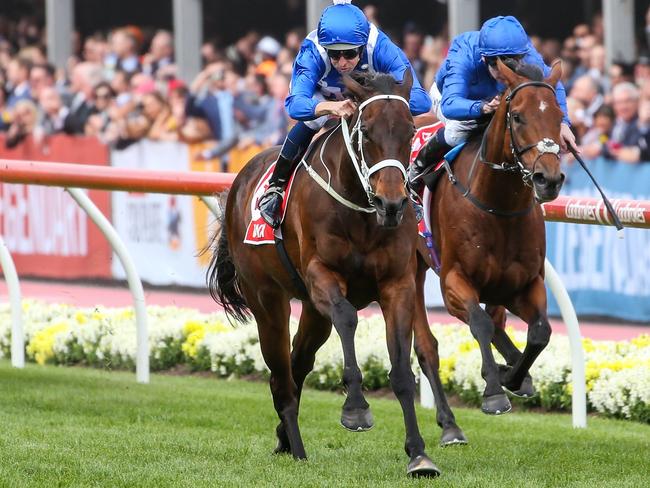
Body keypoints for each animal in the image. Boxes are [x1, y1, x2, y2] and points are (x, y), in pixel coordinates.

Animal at [206, 70, 450, 474]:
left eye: (411, 130)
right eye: (366, 131)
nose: (392, 203)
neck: (361, 211)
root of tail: (240, 179)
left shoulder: (397, 284)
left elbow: (401, 368)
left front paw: (418, 453)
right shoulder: (323, 276)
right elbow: (348, 318)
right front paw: (356, 410)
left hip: (311, 311)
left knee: (297, 362)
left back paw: (284, 437)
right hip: (267, 299)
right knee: (281, 374)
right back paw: (296, 445)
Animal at [420, 58, 560, 416]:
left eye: (559, 115)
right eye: (518, 116)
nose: (549, 179)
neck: (498, 206)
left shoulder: (523, 283)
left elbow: (540, 332)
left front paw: (512, 375)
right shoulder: (453, 280)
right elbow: (480, 323)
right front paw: (495, 391)